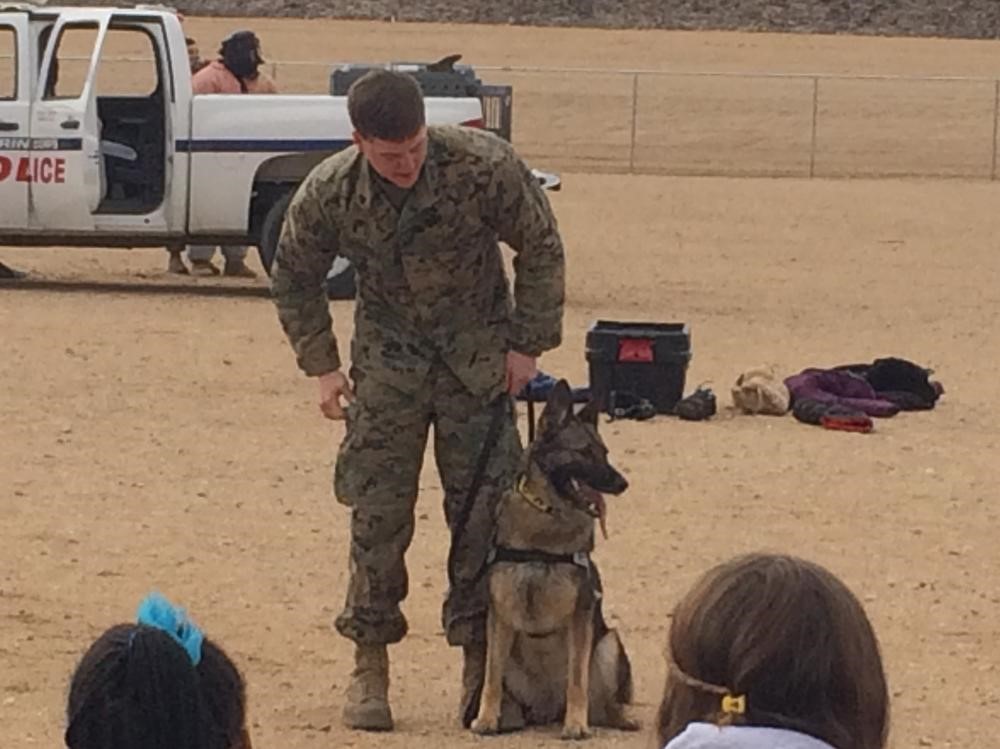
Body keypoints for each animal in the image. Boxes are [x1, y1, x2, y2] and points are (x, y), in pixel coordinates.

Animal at [470, 380, 640, 736]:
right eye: (584, 453)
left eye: (604, 453)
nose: (623, 483)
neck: (547, 517)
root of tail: (549, 707)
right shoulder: (500, 616)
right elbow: (491, 678)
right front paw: (487, 718)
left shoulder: (580, 615)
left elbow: (577, 679)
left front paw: (576, 724)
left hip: (608, 644)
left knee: (601, 701)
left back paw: (616, 717)